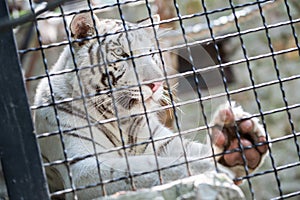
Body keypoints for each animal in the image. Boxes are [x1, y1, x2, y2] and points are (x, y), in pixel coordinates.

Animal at [34, 13, 268, 199]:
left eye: (150, 52)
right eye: (122, 54)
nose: (157, 84)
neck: (119, 118)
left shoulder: (160, 140)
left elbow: (191, 150)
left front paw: (238, 141)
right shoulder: (83, 167)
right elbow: (147, 166)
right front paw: (212, 168)